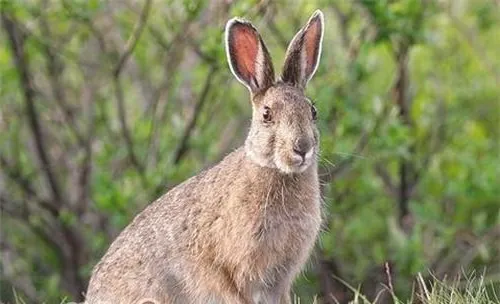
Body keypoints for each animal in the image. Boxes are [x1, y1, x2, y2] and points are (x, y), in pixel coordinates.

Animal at [85, 9, 328, 304]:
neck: (274, 169)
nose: (302, 147)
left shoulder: (279, 281)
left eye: (312, 111)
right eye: (267, 114)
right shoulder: (239, 271)